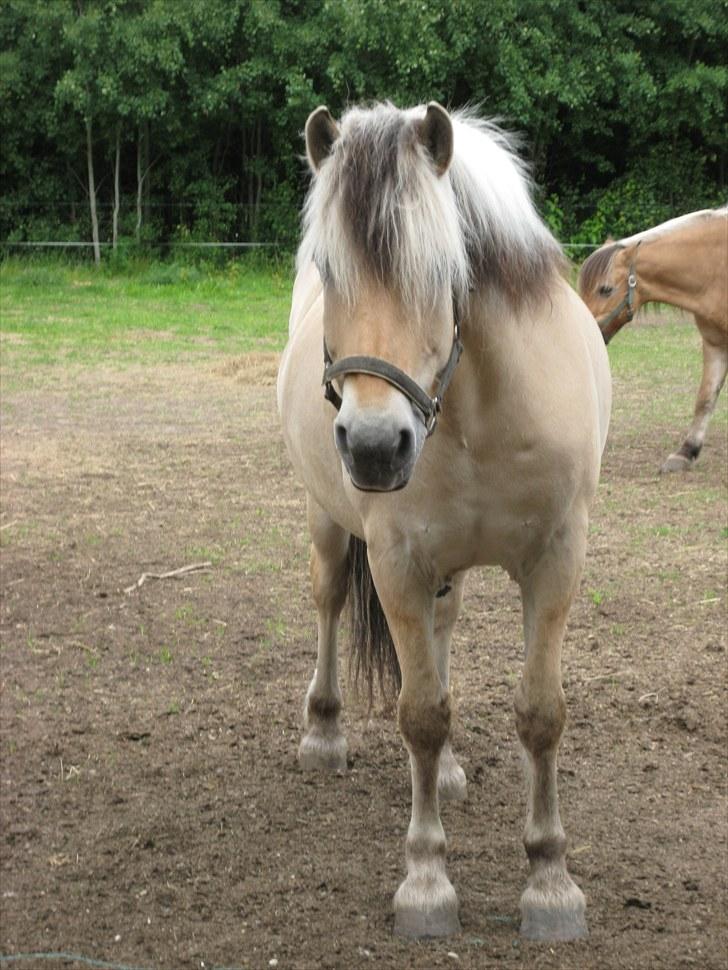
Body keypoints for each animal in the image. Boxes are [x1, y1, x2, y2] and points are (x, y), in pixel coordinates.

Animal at [278, 100, 616, 936]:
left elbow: (540, 713)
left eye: (443, 269)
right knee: (329, 601)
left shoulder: (555, 561)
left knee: (444, 629)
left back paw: (456, 769)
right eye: (328, 268)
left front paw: (550, 881)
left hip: (448, 573)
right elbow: (421, 716)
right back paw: (324, 732)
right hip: (331, 524)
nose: (374, 446)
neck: (479, 412)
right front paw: (427, 882)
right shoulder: (397, 563)